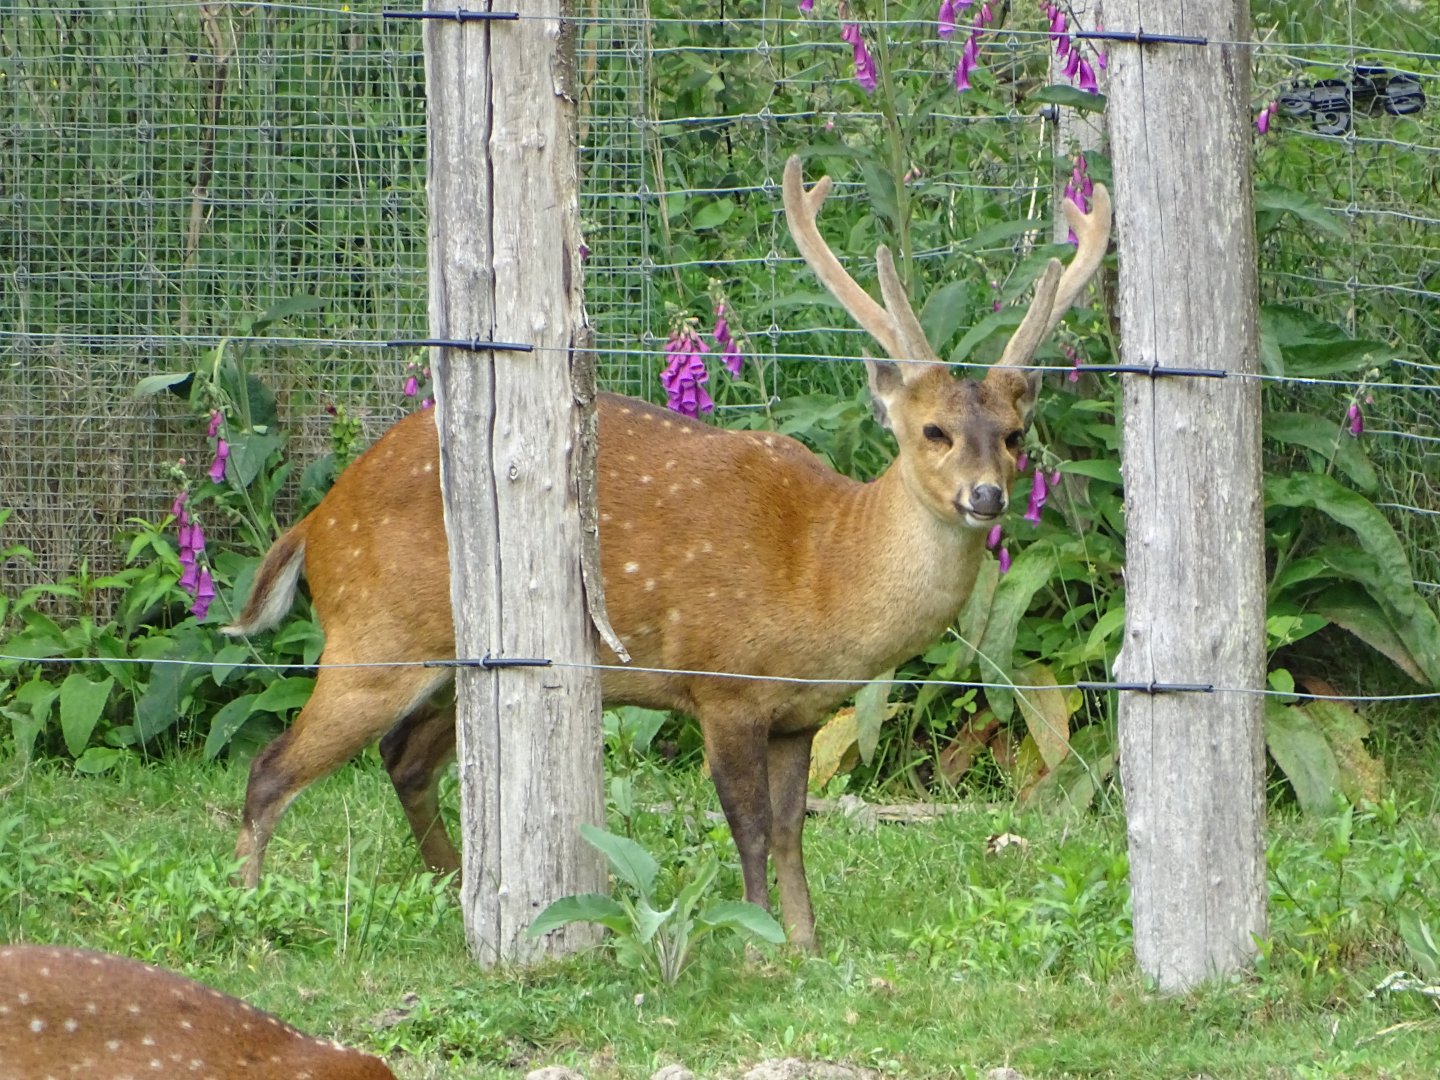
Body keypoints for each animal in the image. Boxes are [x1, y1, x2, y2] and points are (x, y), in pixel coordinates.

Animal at [220, 155, 1111, 953]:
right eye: (933, 431)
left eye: (1015, 434)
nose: (986, 497)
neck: (822, 573)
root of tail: (317, 521)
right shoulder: (724, 683)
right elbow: (749, 828)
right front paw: (756, 948)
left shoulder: (800, 713)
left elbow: (792, 830)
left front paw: (806, 944)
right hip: (373, 635)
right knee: (271, 767)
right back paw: (252, 911)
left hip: (441, 660)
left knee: (403, 759)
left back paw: (455, 888)